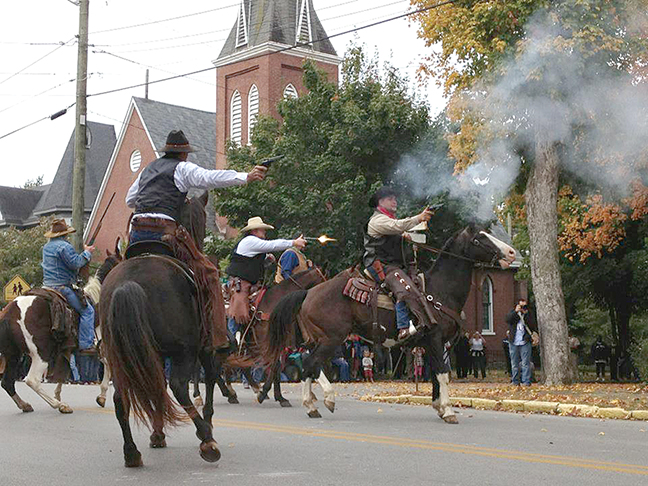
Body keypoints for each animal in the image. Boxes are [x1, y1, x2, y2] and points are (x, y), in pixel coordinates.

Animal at [0, 245, 121, 416]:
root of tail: (9, 313)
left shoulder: (68, 349)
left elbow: (63, 371)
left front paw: (58, 392)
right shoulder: (102, 344)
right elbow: (107, 365)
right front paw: (102, 396)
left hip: (12, 354)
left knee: (7, 382)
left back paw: (26, 405)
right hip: (40, 353)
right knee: (32, 380)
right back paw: (59, 405)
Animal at [264, 226, 516, 424]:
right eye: (479, 238)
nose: (512, 253)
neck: (439, 291)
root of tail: (307, 293)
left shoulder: (434, 344)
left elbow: (436, 375)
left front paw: (438, 406)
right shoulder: (435, 340)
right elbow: (443, 374)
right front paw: (448, 411)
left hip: (318, 340)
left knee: (309, 365)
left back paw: (312, 405)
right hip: (331, 338)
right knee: (311, 364)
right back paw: (326, 400)